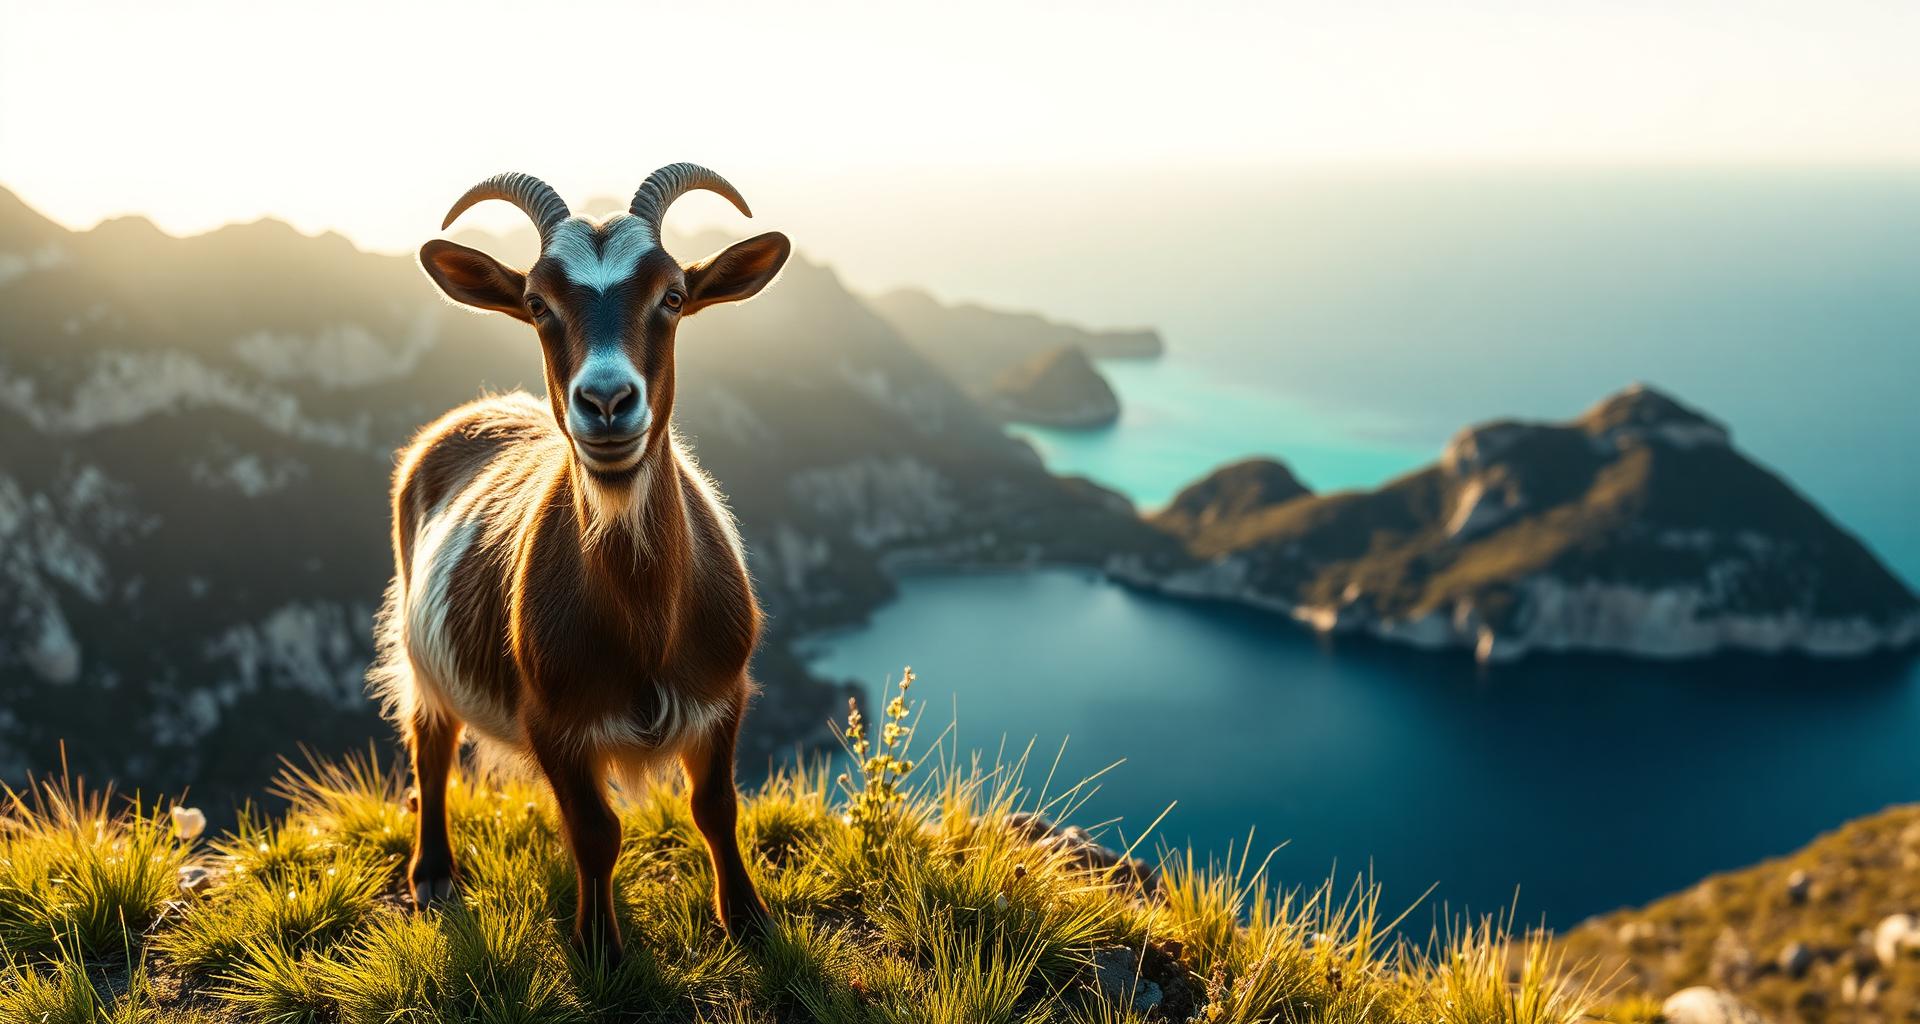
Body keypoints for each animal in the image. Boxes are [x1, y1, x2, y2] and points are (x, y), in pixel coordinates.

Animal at [371, 165, 791, 960]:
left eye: (673, 296)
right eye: (537, 303)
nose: (605, 401)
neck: (646, 616)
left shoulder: (725, 693)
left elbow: (715, 807)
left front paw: (748, 918)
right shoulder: (554, 721)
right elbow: (596, 833)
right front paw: (599, 946)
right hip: (419, 650)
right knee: (430, 742)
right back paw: (433, 871)